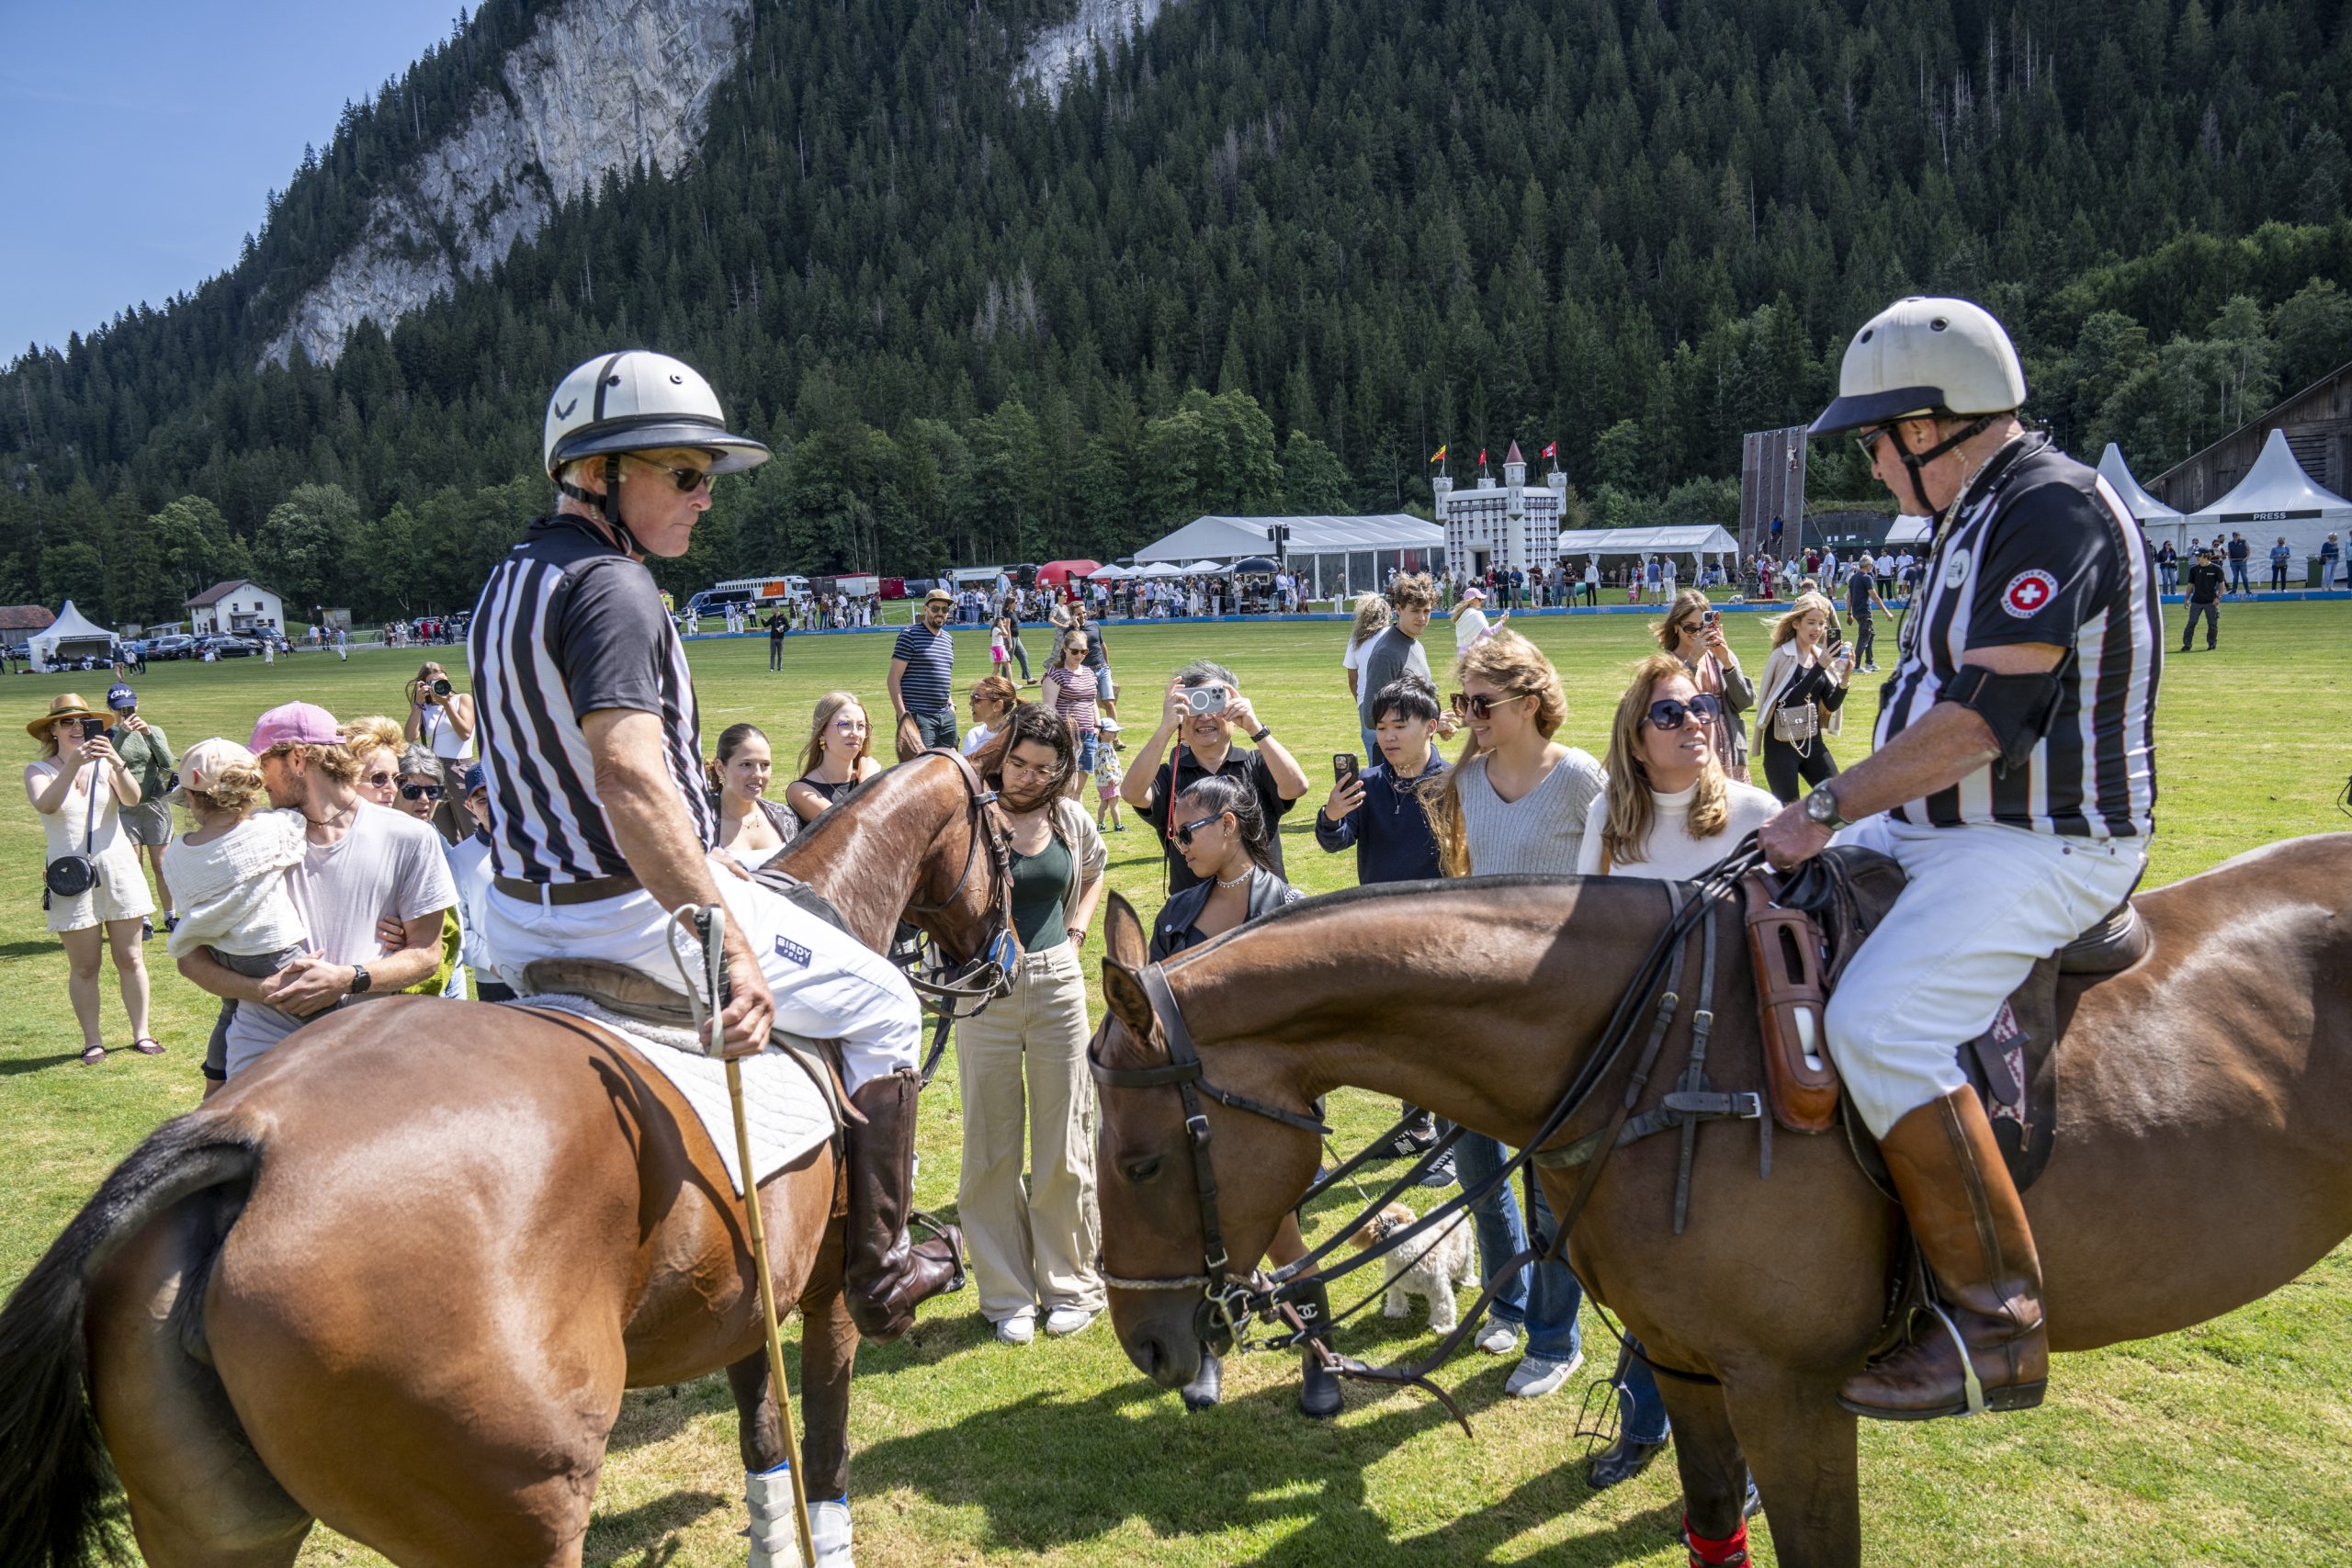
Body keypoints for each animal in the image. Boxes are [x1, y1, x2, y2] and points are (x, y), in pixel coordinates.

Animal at [0, 749, 1011, 1568]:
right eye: (1005, 834)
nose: (996, 965)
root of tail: (251, 1140)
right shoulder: (829, 1289)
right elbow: (825, 1459)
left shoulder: (752, 1289)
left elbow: (769, 1451)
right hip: (512, 1507)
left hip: (218, 1522)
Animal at [1349, 1202, 1479, 1335]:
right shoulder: (1393, 1282)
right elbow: (1395, 1298)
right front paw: (1395, 1312)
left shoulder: (1439, 1288)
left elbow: (1443, 1307)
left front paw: (1443, 1326)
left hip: (1468, 1245)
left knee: (1467, 1266)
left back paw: (1467, 1280)